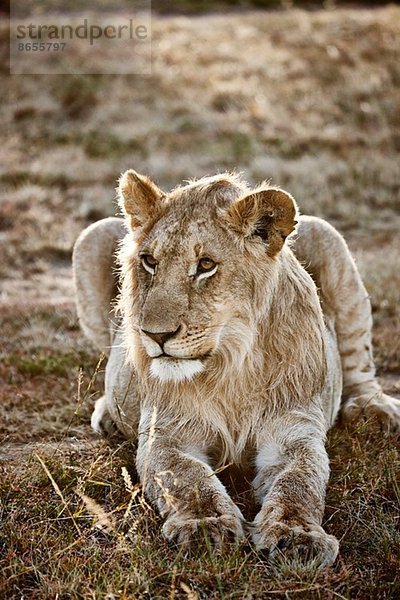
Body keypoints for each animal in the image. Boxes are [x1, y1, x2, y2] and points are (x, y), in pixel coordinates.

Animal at [72, 170, 400, 568]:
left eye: (206, 265)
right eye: (149, 261)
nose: (154, 335)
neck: (229, 366)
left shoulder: (294, 431)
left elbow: (300, 482)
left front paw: (298, 538)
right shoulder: (166, 434)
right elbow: (188, 480)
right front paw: (204, 527)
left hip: (331, 241)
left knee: (360, 365)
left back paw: (375, 411)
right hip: (92, 236)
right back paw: (107, 416)